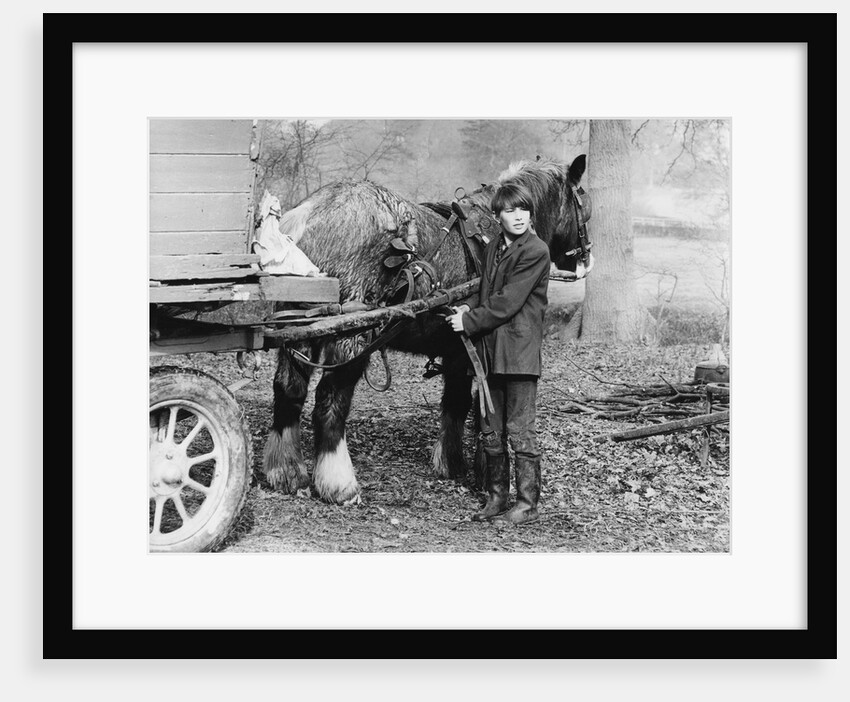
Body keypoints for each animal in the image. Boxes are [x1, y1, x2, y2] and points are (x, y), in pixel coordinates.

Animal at [258, 155, 588, 506]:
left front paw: (451, 463)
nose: (585, 255)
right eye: (583, 202)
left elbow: (455, 403)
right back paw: (338, 483)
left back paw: (286, 470)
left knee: (289, 390)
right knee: (329, 401)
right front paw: (483, 473)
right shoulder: (474, 353)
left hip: (300, 328)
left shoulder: (457, 351)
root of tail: (309, 214)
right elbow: (479, 412)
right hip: (351, 338)